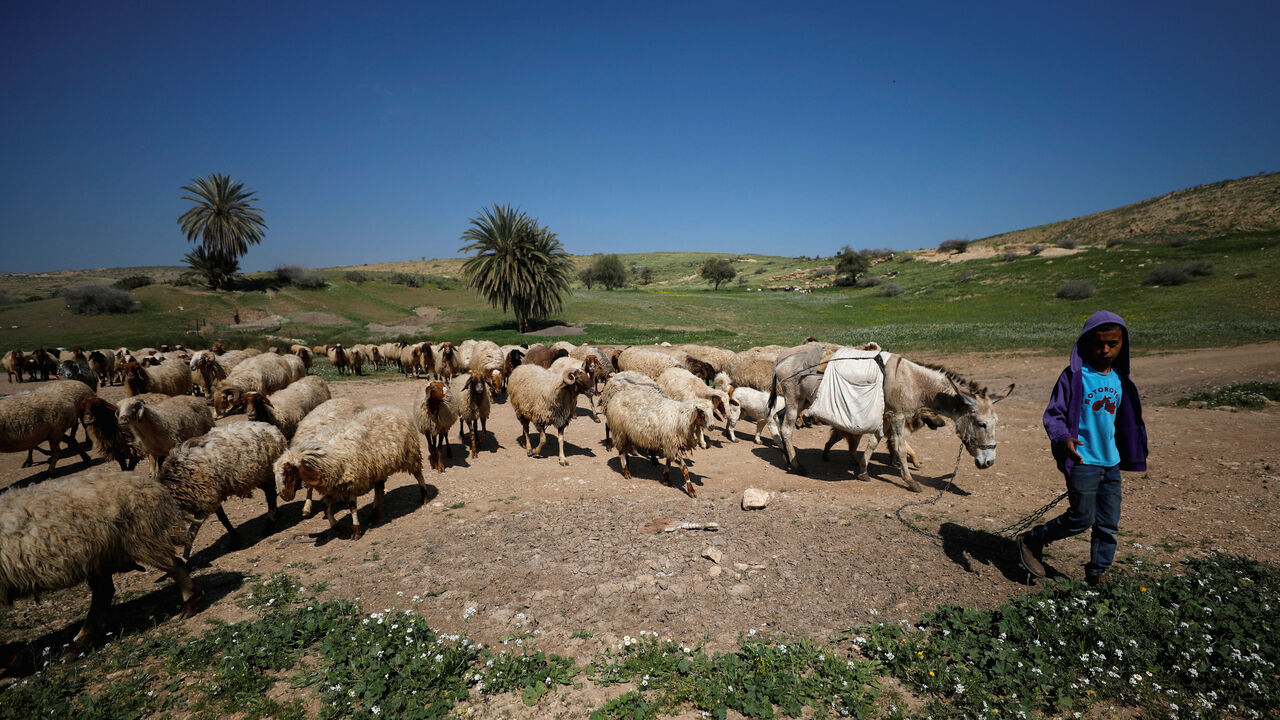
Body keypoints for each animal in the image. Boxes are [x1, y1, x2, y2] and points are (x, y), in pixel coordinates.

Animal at [0, 469, 200, 657]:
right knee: (103, 593)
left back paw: (189, 604)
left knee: (175, 566)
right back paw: (79, 644)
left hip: (142, 538)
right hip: (100, 557)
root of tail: (148, 483)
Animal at [158, 421, 288, 559]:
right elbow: (222, 518)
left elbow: (194, 528)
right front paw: (235, 537)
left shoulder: (207, 499)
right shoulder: (212, 496)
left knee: (270, 495)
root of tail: (273, 428)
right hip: (259, 475)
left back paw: (270, 523)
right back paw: (276, 515)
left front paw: (186, 555)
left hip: (265, 473)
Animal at [274, 406, 427, 540]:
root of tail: (393, 407)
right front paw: (337, 527)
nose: (284, 496)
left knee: (418, 475)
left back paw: (424, 497)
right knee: (379, 489)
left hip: (410, 455)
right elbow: (326, 508)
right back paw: (374, 514)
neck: (327, 457)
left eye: (289, 472)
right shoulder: (332, 485)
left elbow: (352, 507)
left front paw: (356, 531)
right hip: (378, 468)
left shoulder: (353, 480)